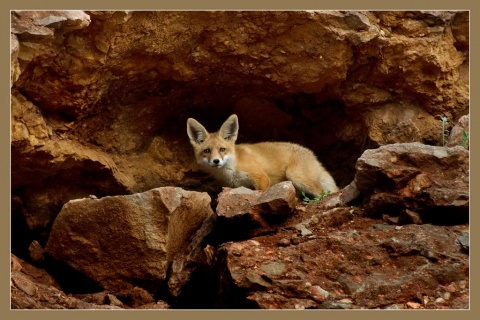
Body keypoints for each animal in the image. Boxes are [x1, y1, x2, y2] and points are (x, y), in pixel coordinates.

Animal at [186, 114, 340, 196]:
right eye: (207, 151)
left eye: (222, 149)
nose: (216, 161)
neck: (230, 172)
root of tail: (311, 153)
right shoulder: (234, 187)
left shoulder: (261, 177)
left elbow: (261, 192)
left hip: (295, 175)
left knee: (322, 192)